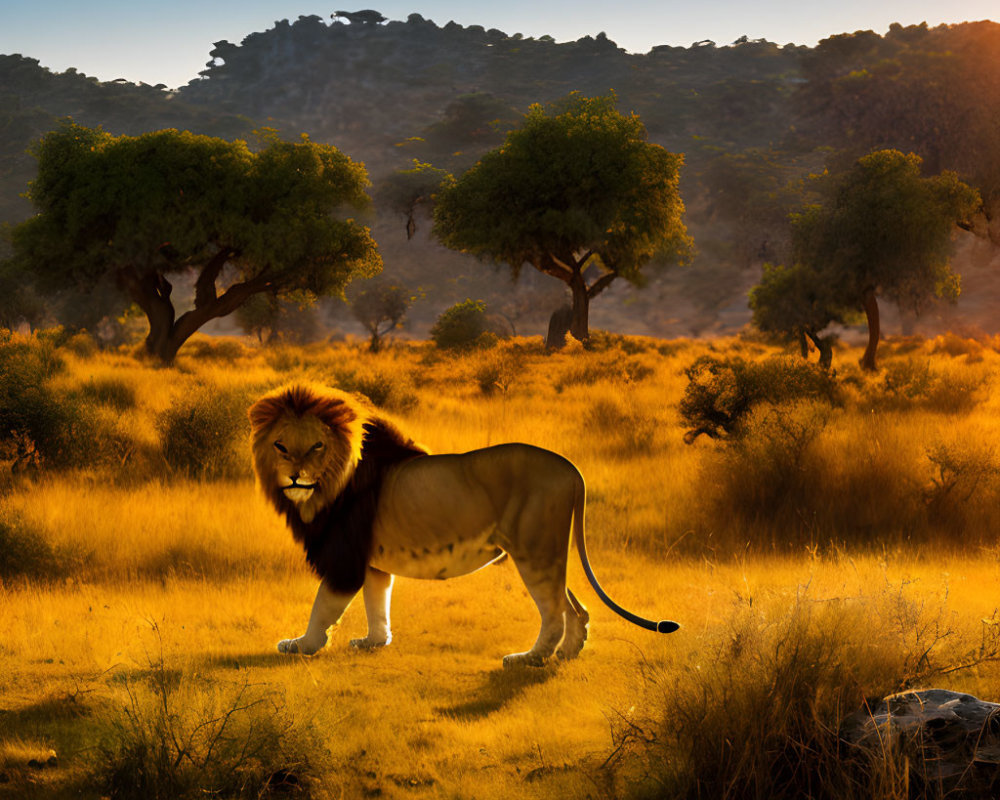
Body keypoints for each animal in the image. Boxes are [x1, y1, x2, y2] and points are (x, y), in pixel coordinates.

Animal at [250, 384, 680, 664]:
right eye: (281, 447)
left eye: (317, 446)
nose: (295, 476)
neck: (327, 486)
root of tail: (572, 469)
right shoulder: (370, 561)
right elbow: (378, 603)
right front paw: (374, 642)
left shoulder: (344, 561)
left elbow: (322, 607)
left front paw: (301, 645)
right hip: (547, 549)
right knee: (574, 608)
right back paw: (568, 654)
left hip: (534, 550)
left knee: (554, 612)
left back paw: (530, 658)